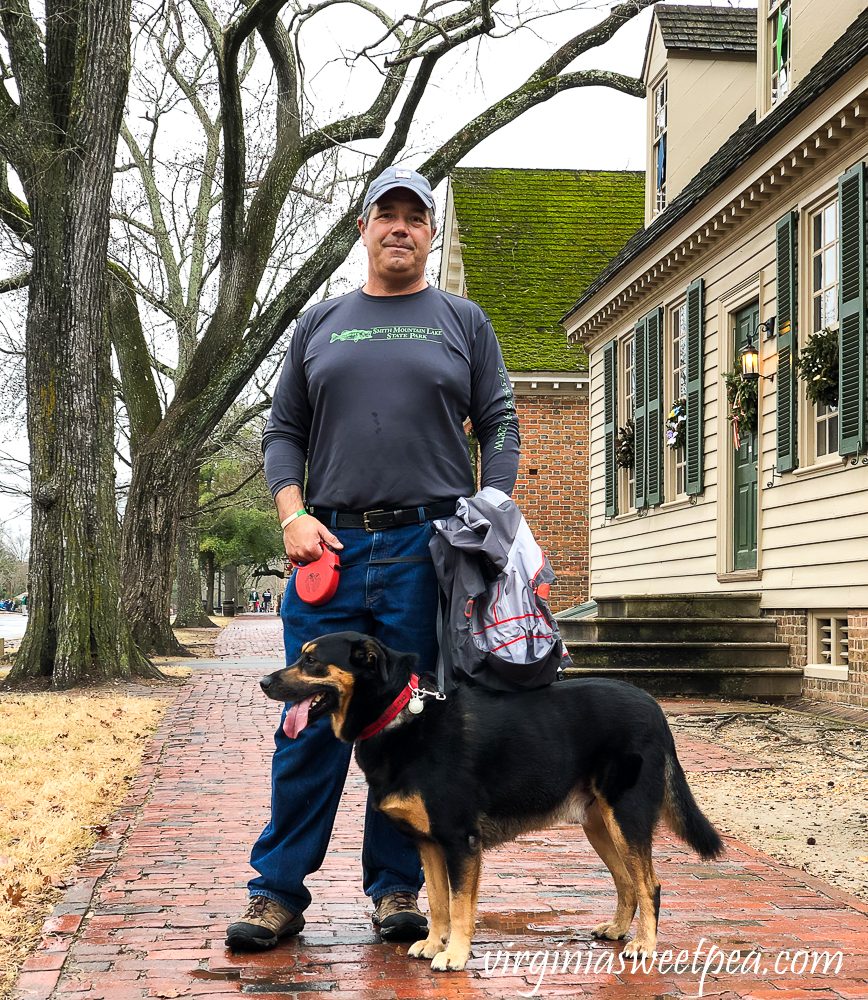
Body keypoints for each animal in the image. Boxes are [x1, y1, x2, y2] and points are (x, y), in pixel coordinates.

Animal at [260, 632, 724, 968]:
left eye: (312, 661)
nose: (265, 681)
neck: (397, 717)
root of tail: (656, 709)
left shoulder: (461, 842)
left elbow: (460, 907)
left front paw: (454, 955)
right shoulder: (429, 844)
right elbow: (439, 903)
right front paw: (433, 944)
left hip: (625, 817)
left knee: (650, 884)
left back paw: (644, 945)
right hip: (599, 824)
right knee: (627, 881)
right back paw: (616, 929)